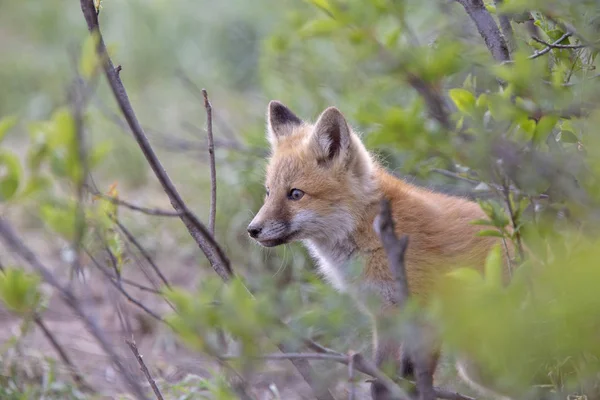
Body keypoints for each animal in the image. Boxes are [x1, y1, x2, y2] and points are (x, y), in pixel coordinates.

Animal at [247, 101, 510, 398]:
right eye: (268, 192)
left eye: (295, 194)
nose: (252, 230)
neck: (370, 232)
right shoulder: (384, 316)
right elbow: (383, 381)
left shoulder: (427, 315)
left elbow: (415, 381)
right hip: (479, 366)